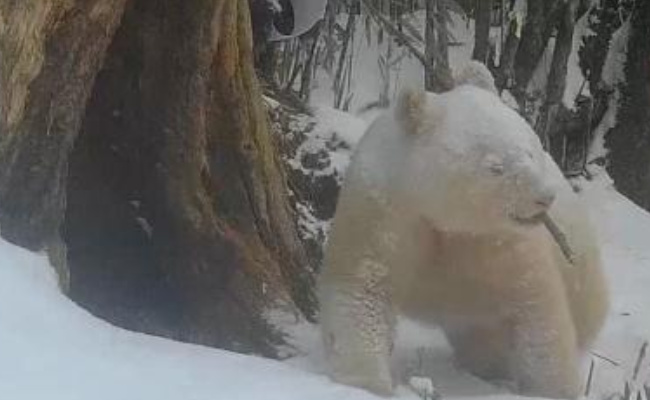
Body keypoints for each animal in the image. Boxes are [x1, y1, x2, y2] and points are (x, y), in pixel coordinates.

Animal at [317, 64, 608, 399]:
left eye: (531, 150)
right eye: (496, 167)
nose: (544, 197)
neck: (444, 217)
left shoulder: (499, 243)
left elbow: (537, 310)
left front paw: (556, 389)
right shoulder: (383, 216)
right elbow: (362, 291)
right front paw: (367, 384)